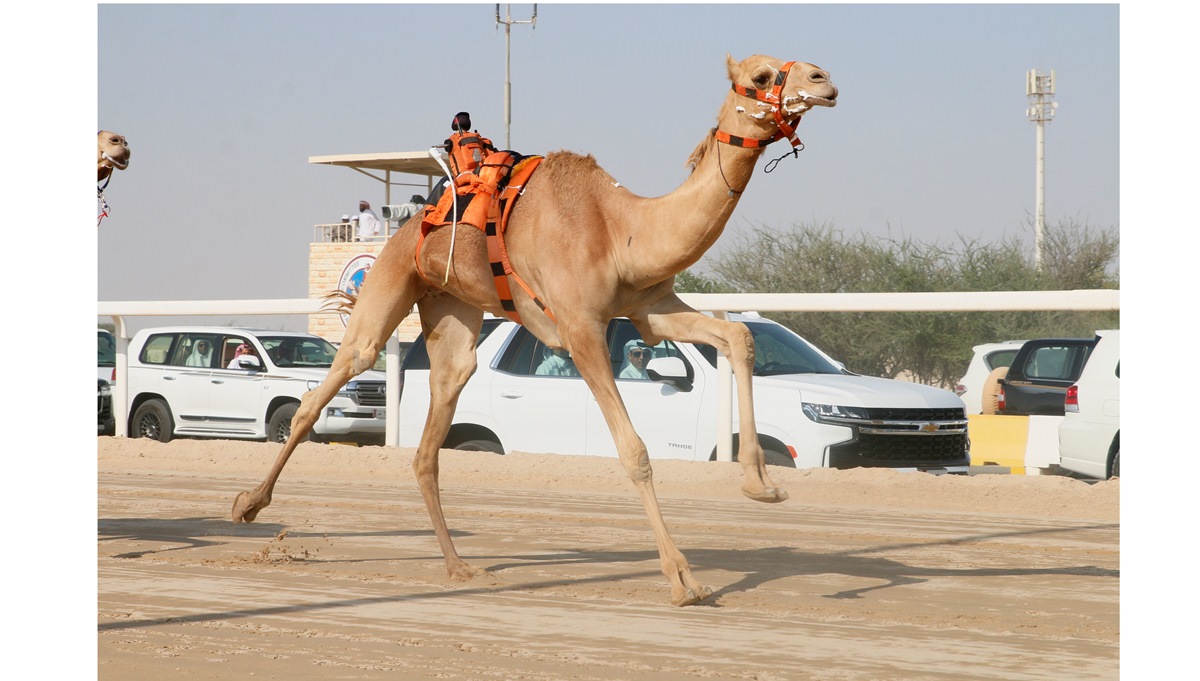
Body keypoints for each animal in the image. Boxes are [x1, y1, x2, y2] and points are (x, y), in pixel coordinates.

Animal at [231, 54, 835, 606]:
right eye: (762, 76)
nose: (825, 80)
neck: (621, 229)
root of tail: (414, 220)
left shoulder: (648, 307)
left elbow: (739, 338)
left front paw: (762, 486)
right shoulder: (580, 328)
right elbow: (635, 451)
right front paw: (683, 580)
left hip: (451, 308)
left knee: (435, 425)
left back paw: (460, 567)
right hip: (391, 280)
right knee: (335, 379)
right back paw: (247, 505)